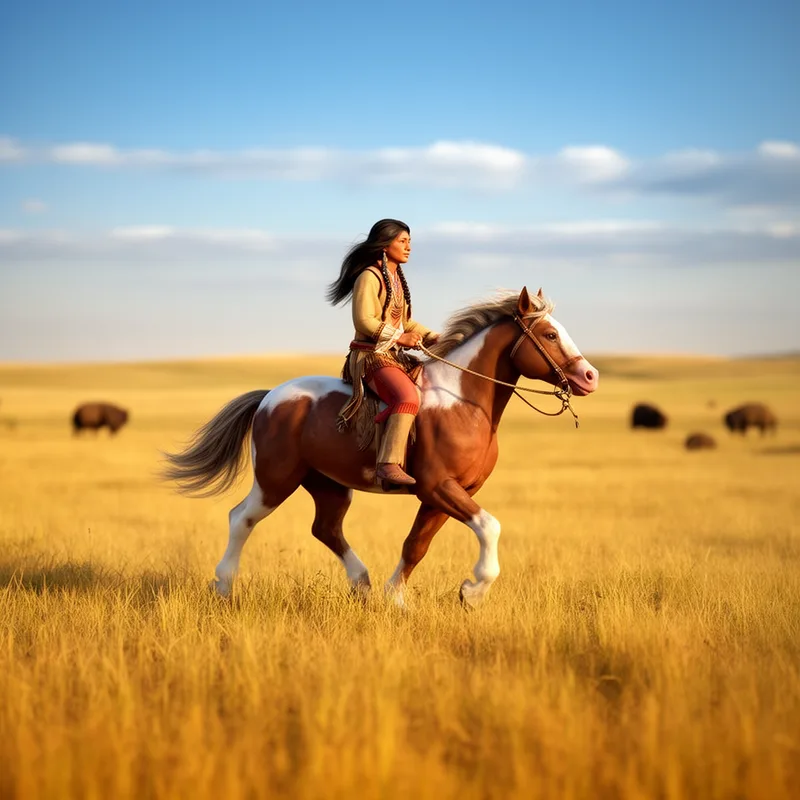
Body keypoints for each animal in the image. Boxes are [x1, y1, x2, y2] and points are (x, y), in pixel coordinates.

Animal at [162, 287, 599, 608]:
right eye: (550, 335)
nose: (589, 376)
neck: (462, 401)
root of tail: (270, 397)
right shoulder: (438, 487)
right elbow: (490, 527)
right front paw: (473, 592)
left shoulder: (446, 495)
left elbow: (416, 545)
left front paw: (397, 600)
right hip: (275, 480)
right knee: (242, 518)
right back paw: (223, 587)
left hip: (328, 484)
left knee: (325, 528)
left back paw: (363, 585)